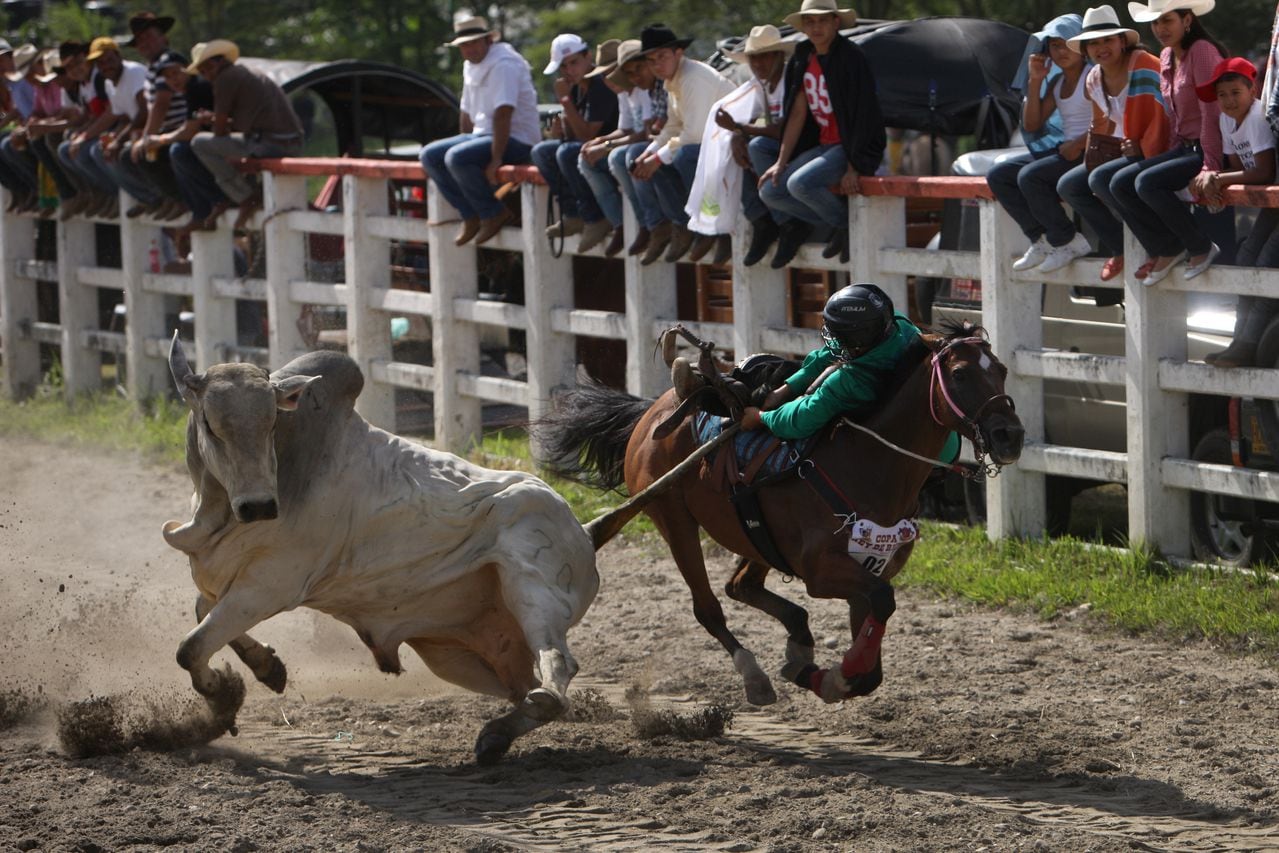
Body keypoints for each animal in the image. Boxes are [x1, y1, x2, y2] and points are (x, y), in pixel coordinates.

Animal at [161, 337, 598, 762]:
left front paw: (222, 696)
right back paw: (502, 731)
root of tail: (582, 532)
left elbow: (189, 648)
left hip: (531, 585)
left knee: (557, 671)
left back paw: (500, 733)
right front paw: (267, 668)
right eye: (211, 425)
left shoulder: (267, 589)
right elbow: (202, 618)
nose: (259, 507)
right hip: (459, 657)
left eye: (271, 424)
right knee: (527, 686)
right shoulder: (224, 587)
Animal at [539, 323, 1018, 705]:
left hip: (754, 535)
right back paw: (755, 676)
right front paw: (830, 677)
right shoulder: (824, 572)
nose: (1009, 435)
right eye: (960, 373)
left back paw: (798, 643)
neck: (869, 462)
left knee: (740, 586)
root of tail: (649, 414)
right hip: (673, 520)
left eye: (1002, 370)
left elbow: (872, 664)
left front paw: (821, 674)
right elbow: (883, 605)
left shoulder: (868, 569)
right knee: (709, 607)